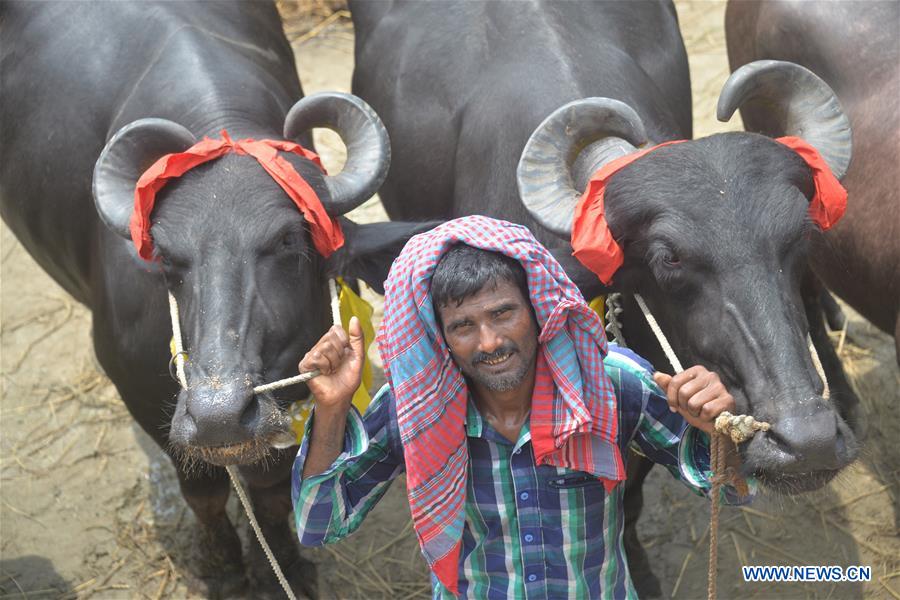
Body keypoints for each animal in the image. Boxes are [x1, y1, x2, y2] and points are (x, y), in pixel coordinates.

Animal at [0, 2, 435, 596]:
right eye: (165, 257)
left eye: (287, 240)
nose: (218, 414)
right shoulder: (138, 388)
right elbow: (203, 495)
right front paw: (226, 571)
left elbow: (272, 490)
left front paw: (282, 568)